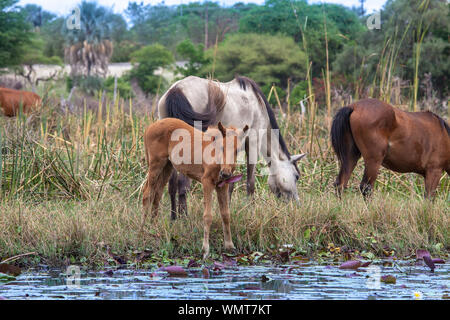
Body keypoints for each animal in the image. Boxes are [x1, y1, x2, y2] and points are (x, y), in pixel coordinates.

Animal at [143, 115, 250, 258]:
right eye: (222, 147)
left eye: (237, 150)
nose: (225, 173)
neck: (216, 158)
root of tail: (148, 128)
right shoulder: (207, 182)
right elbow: (208, 216)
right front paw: (205, 250)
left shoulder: (222, 185)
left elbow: (226, 214)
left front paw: (229, 245)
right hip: (155, 164)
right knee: (147, 193)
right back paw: (143, 229)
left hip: (167, 166)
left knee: (157, 194)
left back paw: (154, 229)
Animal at [158, 75, 306, 220]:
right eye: (296, 176)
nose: (297, 204)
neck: (258, 105)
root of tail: (177, 89)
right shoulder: (253, 142)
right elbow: (250, 182)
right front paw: (250, 212)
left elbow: (230, 182)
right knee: (182, 183)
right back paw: (184, 216)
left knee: (172, 184)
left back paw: (174, 217)